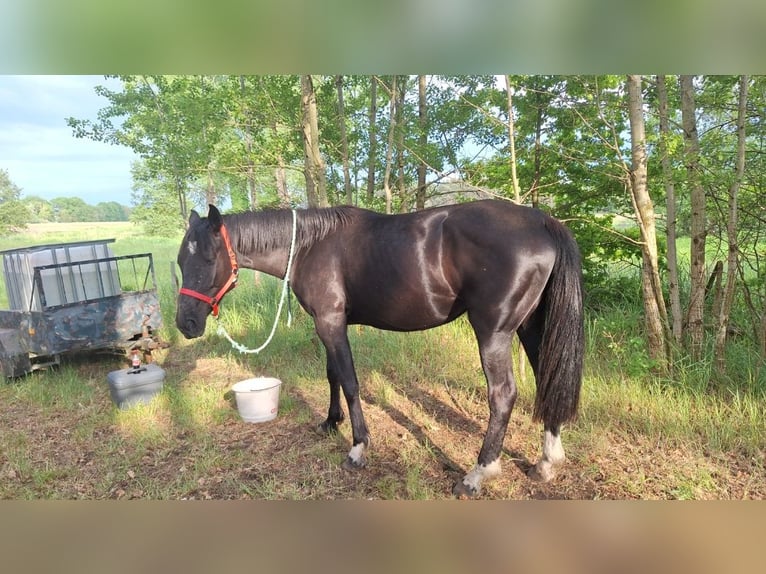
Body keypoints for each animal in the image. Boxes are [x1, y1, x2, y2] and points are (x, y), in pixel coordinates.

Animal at [175, 199, 584, 498]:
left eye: (208, 259)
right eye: (180, 260)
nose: (186, 324)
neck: (310, 246)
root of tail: (541, 220)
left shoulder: (330, 322)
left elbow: (350, 382)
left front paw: (357, 448)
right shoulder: (329, 323)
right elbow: (332, 374)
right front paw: (330, 422)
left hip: (494, 332)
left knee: (502, 395)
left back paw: (477, 474)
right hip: (531, 327)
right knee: (547, 378)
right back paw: (546, 462)